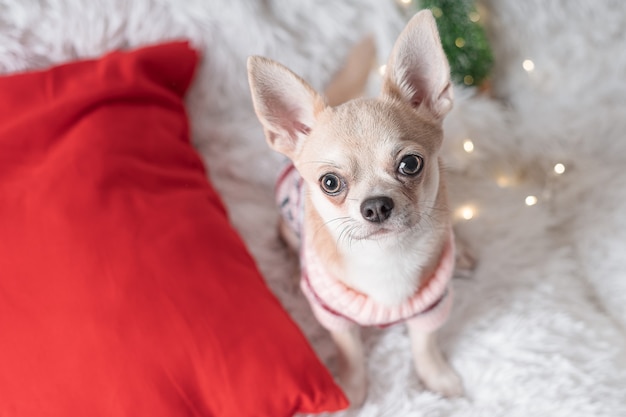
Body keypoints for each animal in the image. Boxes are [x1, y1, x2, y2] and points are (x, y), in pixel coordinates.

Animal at [246, 10, 460, 406]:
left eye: (411, 164)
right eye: (330, 183)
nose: (375, 206)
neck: (386, 255)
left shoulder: (432, 307)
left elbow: (425, 346)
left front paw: (437, 378)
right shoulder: (336, 319)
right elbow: (352, 354)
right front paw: (353, 392)